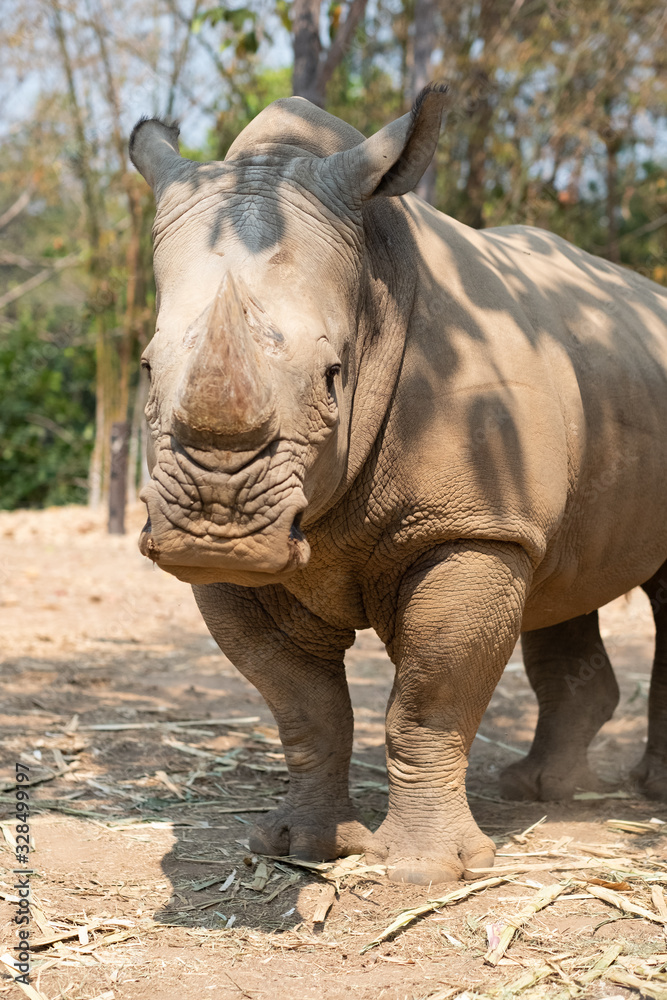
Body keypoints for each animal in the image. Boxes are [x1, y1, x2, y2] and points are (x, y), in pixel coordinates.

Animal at [129, 85, 667, 884]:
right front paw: (297, 846)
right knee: (560, 574)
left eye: (333, 376)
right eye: (145, 368)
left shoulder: (471, 528)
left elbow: (427, 700)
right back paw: (539, 788)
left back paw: (640, 792)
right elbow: (304, 707)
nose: (213, 530)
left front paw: (418, 872)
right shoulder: (490, 517)